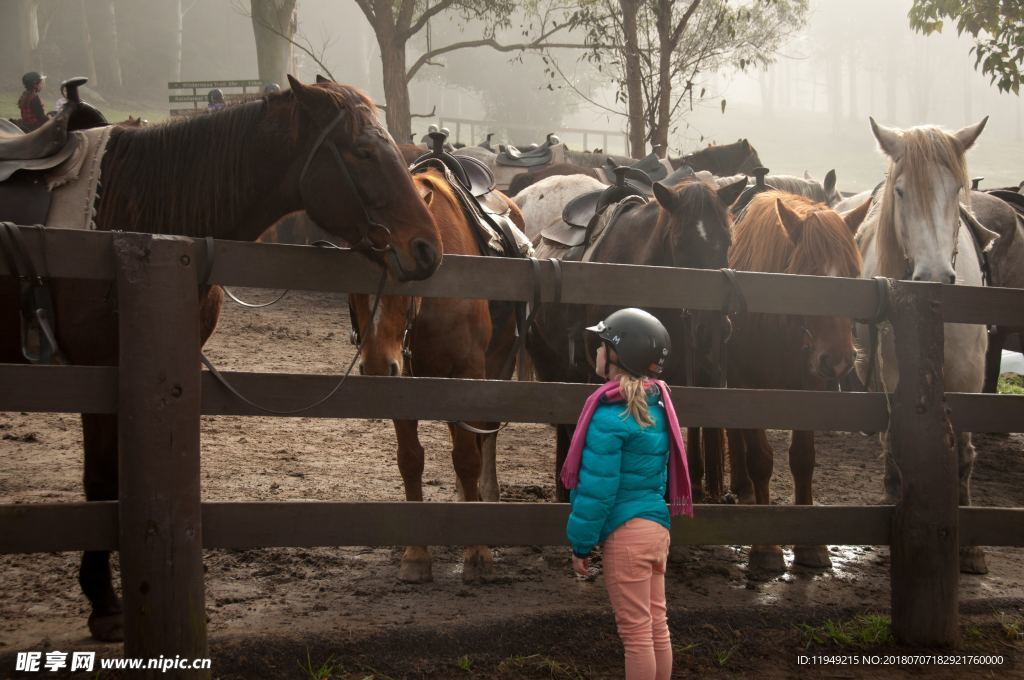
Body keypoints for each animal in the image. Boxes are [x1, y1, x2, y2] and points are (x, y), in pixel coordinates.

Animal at [0, 76, 440, 639]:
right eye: (363, 151)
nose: (427, 249)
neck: (135, 216)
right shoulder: (97, 372)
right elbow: (100, 483)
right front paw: (103, 602)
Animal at [350, 165, 524, 585]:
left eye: (408, 271)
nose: (377, 366)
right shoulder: (406, 381)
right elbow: (411, 459)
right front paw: (416, 555)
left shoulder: (468, 375)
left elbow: (467, 458)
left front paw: (477, 553)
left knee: (484, 438)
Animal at [724, 189, 860, 573]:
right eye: (808, 275)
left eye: (854, 274)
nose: (838, 359)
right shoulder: (745, 386)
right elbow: (760, 458)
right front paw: (766, 548)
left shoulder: (810, 388)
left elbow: (802, 458)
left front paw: (810, 546)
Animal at [856, 116, 991, 573]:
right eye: (901, 191)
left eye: (955, 188)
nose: (934, 275)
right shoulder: (898, 375)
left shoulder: (969, 380)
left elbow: (964, 452)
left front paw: (970, 548)